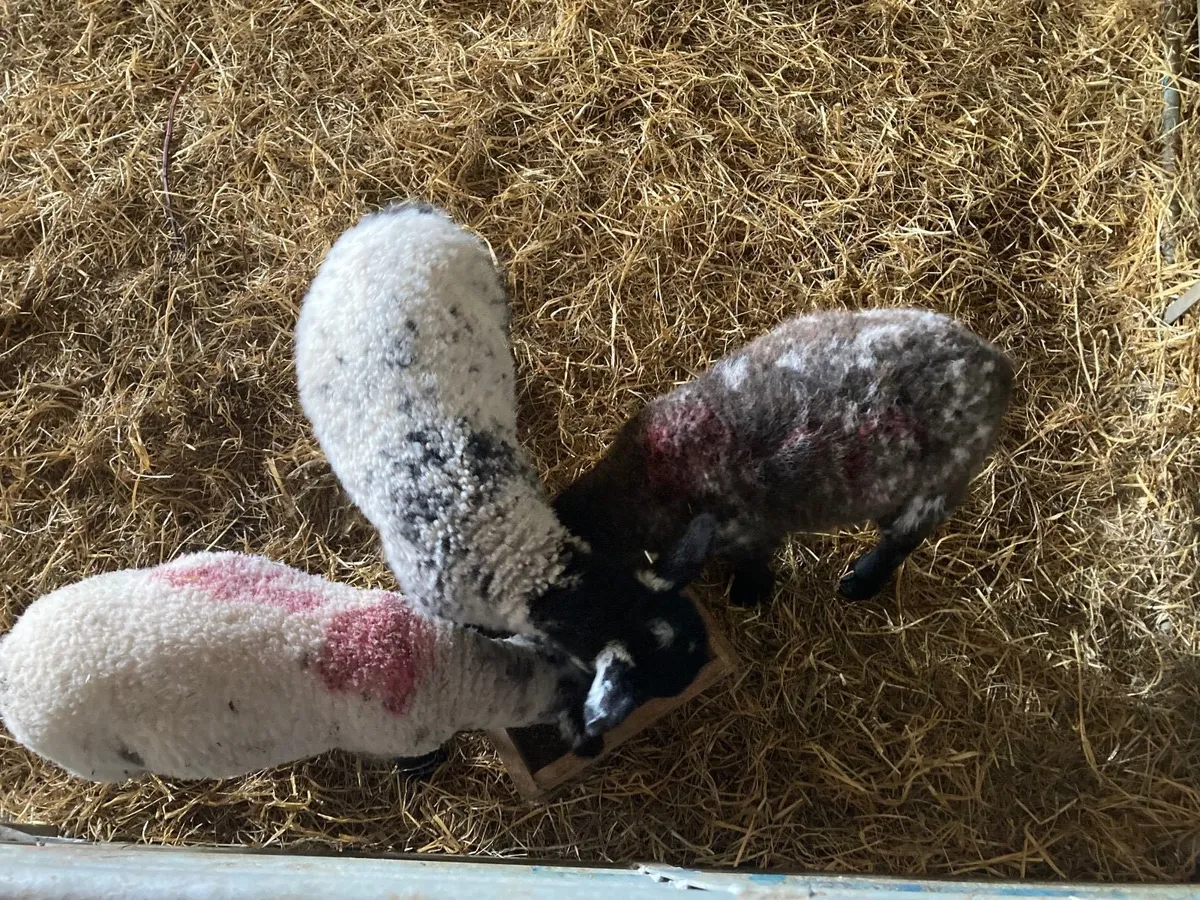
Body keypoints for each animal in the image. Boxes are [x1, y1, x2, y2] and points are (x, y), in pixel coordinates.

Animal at [553, 308, 1014, 607]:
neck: (650, 474)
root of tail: (998, 365)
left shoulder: (747, 534)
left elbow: (753, 563)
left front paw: (749, 596)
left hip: (936, 485)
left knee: (901, 541)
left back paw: (860, 582)